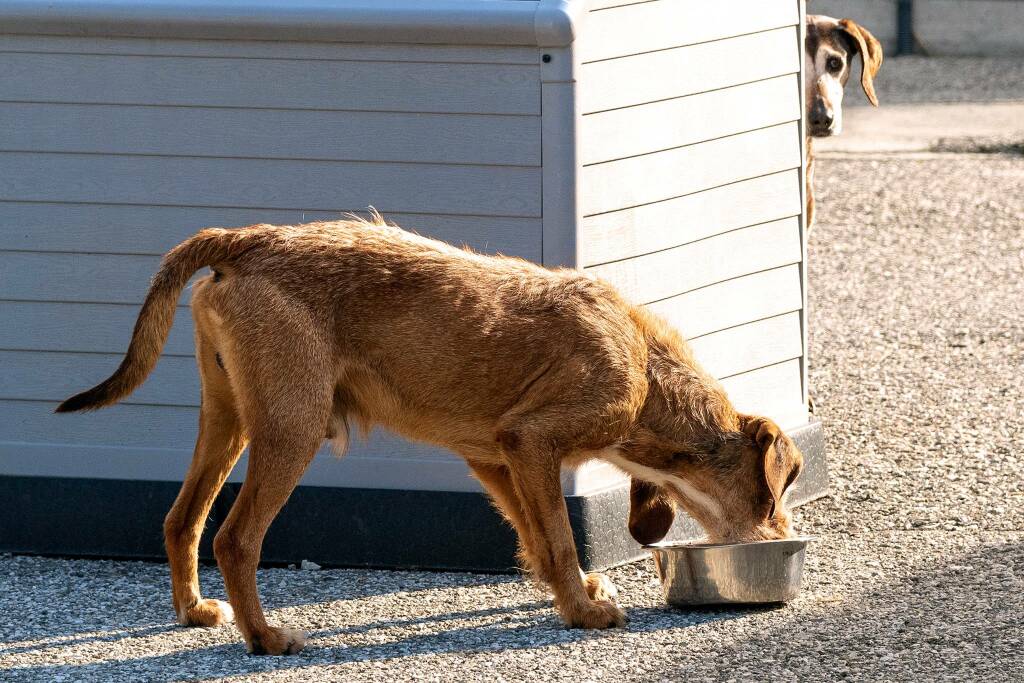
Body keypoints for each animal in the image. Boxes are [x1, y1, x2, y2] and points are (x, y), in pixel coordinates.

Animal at [59, 219, 802, 655]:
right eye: (774, 492)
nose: (781, 537)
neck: (645, 366)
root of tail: (246, 238)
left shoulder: (495, 456)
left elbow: (538, 537)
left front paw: (578, 595)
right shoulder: (532, 441)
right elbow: (560, 539)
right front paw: (584, 612)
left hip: (230, 419)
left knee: (182, 518)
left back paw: (192, 611)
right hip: (291, 428)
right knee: (235, 538)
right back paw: (267, 637)